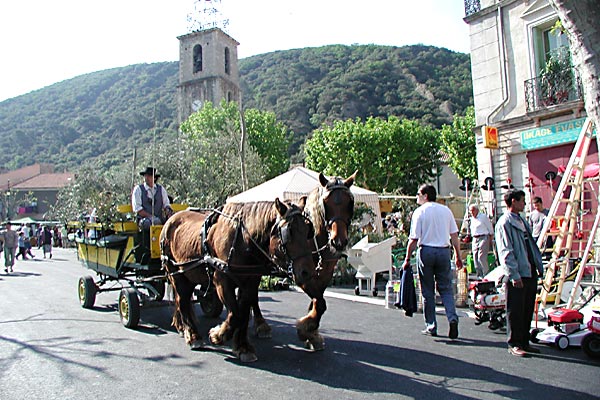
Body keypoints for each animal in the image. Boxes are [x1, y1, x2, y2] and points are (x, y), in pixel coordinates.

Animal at [162, 197, 316, 362]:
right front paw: (218, 335)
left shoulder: (250, 283)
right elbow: (236, 314)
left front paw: (242, 347)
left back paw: (182, 327)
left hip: (189, 275)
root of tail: (170, 220)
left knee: (181, 299)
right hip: (176, 273)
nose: (307, 272)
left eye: (307, 230)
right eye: (289, 232)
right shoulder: (222, 282)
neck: (242, 241)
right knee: (182, 300)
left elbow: (244, 314)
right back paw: (193, 336)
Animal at [250, 171, 356, 350]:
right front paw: (306, 329)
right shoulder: (301, 274)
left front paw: (312, 331)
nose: (338, 241)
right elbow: (320, 302)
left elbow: (317, 301)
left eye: (350, 202)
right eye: (325, 203)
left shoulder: (324, 274)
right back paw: (261, 325)